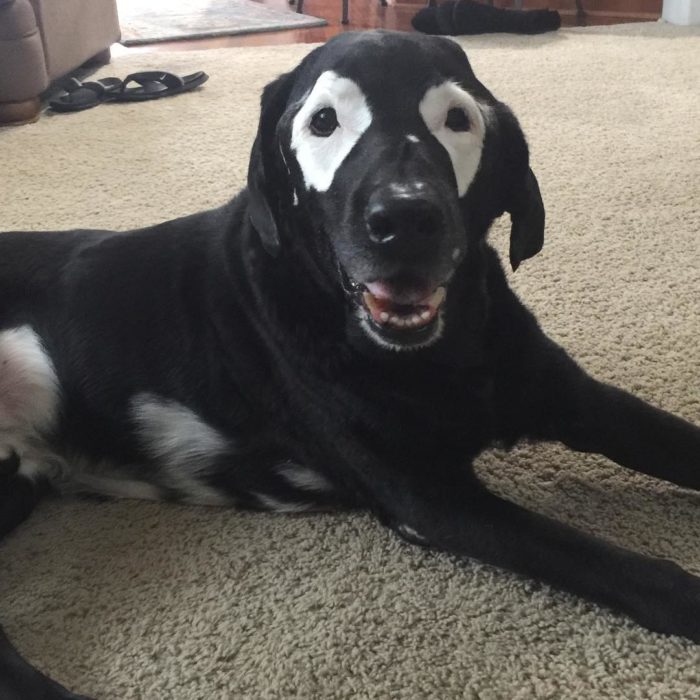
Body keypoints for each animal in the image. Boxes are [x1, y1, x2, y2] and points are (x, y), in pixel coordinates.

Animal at [1, 30, 700, 696]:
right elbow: (610, 563)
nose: (405, 218)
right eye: (323, 122)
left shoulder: (574, 399)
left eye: (457, 119)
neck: (444, 354)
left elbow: (671, 440)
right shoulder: (431, 499)